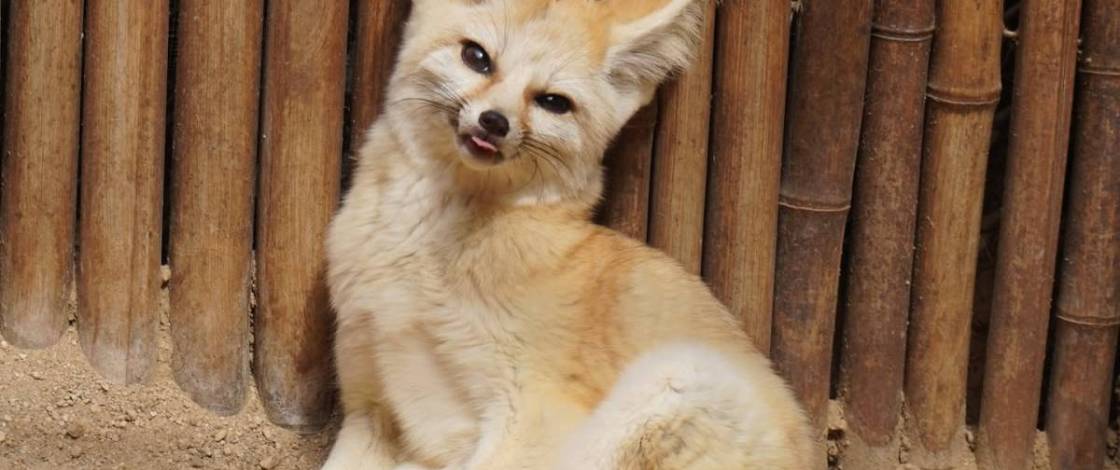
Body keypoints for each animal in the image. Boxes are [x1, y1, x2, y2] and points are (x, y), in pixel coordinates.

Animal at [321, 0, 812, 469]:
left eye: (554, 102)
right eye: (476, 57)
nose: (494, 121)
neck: (418, 256)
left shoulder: (536, 414)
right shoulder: (369, 403)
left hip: (674, 379)